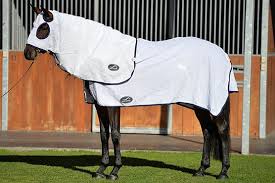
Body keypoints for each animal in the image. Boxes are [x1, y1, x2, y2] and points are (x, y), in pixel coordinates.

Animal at [24, 6, 239, 180]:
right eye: (34, 26)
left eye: (43, 28)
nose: (27, 54)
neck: (99, 52)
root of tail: (223, 55)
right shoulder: (100, 104)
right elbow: (103, 135)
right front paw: (100, 170)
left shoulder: (113, 103)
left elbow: (116, 135)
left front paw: (114, 171)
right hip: (199, 104)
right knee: (207, 131)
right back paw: (201, 170)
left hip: (214, 104)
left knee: (221, 130)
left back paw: (223, 172)